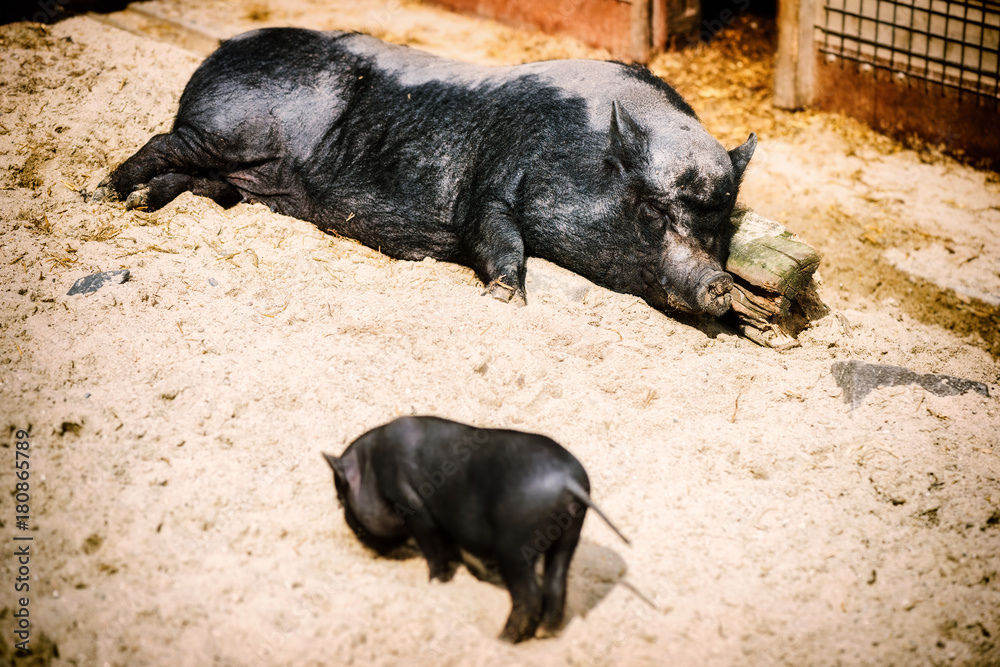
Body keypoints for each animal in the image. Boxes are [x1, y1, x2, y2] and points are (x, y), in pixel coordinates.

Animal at [99, 27, 756, 314]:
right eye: (650, 210)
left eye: (720, 221)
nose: (718, 282)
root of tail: (219, 50)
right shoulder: (491, 182)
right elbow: (495, 234)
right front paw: (504, 300)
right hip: (221, 131)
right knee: (160, 143)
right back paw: (106, 194)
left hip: (234, 170)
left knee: (197, 184)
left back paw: (140, 203)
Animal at [324, 418, 628, 640]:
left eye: (341, 500)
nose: (354, 531)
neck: (373, 468)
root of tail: (567, 482)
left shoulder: (413, 507)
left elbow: (434, 551)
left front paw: (435, 584)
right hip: (569, 538)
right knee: (556, 582)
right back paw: (544, 634)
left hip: (514, 545)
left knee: (529, 595)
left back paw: (502, 639)